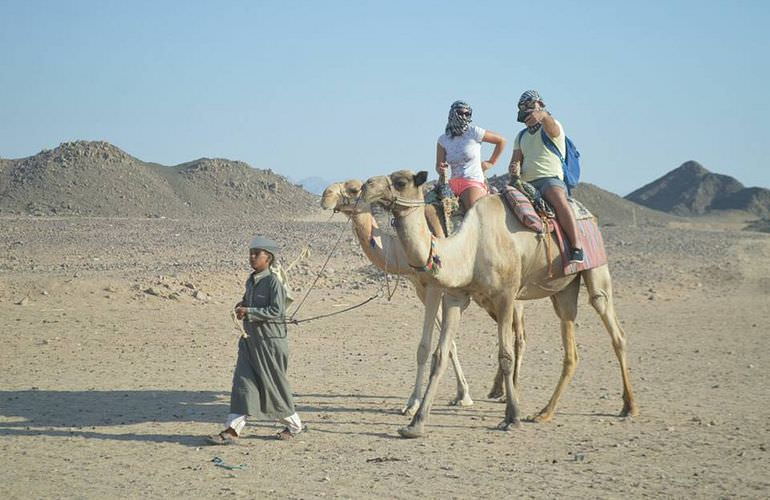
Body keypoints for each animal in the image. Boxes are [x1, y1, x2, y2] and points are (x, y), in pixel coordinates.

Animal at [364, 171, 640, 438]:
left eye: (400, 181)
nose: (367, 185)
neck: (470, 245)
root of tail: (586, 213)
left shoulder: (506, 295)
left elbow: (505, 355)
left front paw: (512, 418)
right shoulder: (455, 296)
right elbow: (439, 355)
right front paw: (415, 423)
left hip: (595, 269)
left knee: (614, 327)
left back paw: (629, 406)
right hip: (563, 289)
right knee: (570, 340)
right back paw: (544, 412)